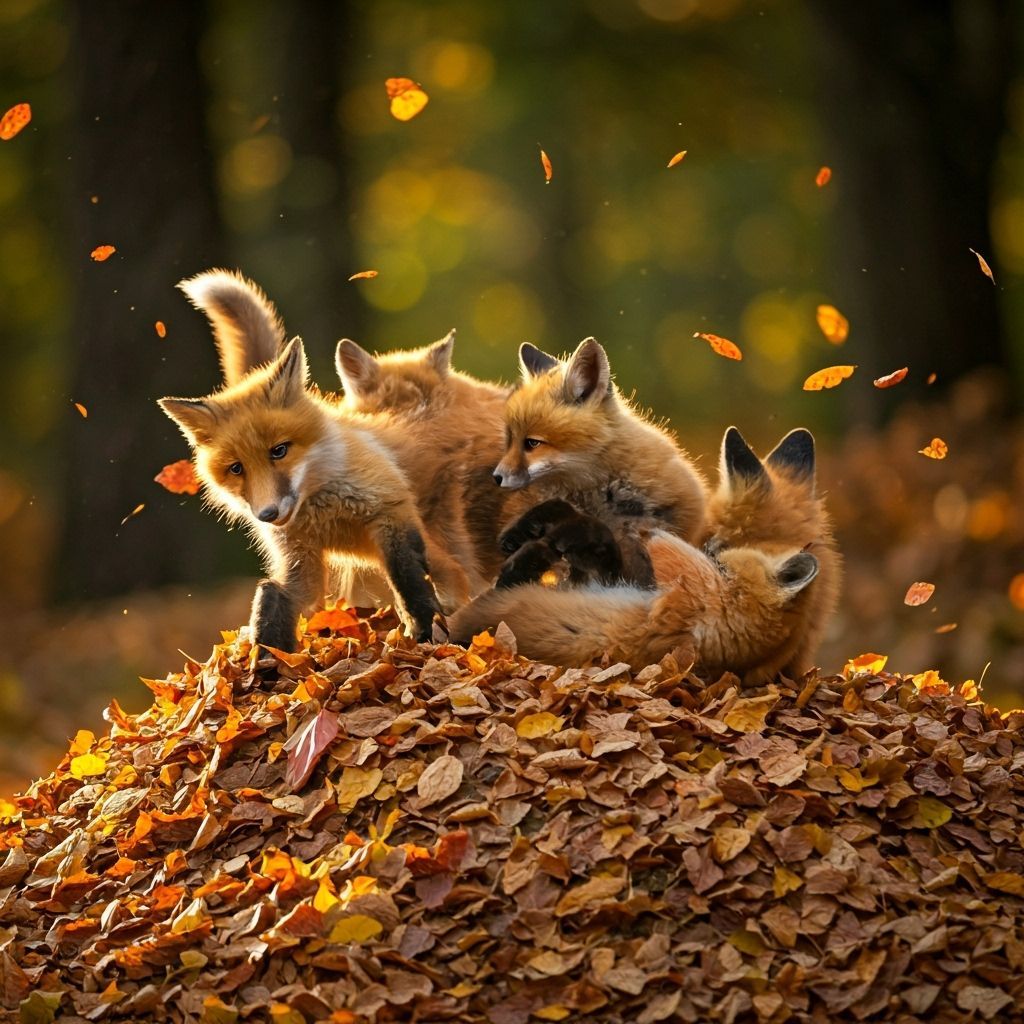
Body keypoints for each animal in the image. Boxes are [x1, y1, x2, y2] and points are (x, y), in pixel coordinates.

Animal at [160, 272, 475, 651]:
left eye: (279, 450)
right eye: (236, 468)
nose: (268, 514)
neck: (325, 512)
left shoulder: (392, 514)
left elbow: (409, 584)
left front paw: (424, 635)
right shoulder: (298, 558)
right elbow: (275, 596)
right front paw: (265, 659)